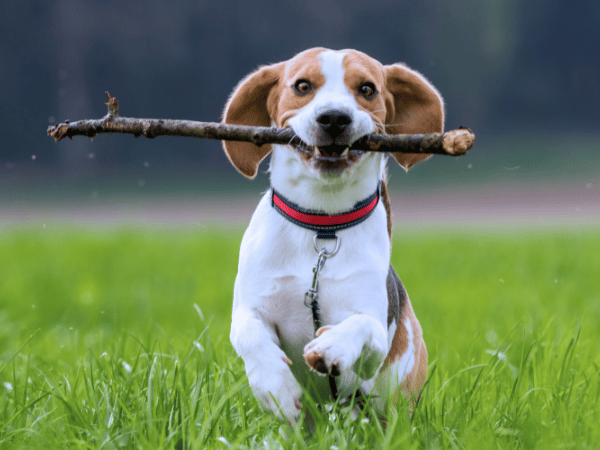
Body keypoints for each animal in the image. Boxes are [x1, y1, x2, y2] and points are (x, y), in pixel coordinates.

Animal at [220, 47, 440, 424]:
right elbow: (249, 335)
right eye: (302, 86)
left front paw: (331, 345)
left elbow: (362, 326)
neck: (323, 227)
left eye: (367, 89)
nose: (334, 117)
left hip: (394, 400)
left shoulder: (374, 339)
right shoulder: (251, 307)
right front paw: (277, 389)